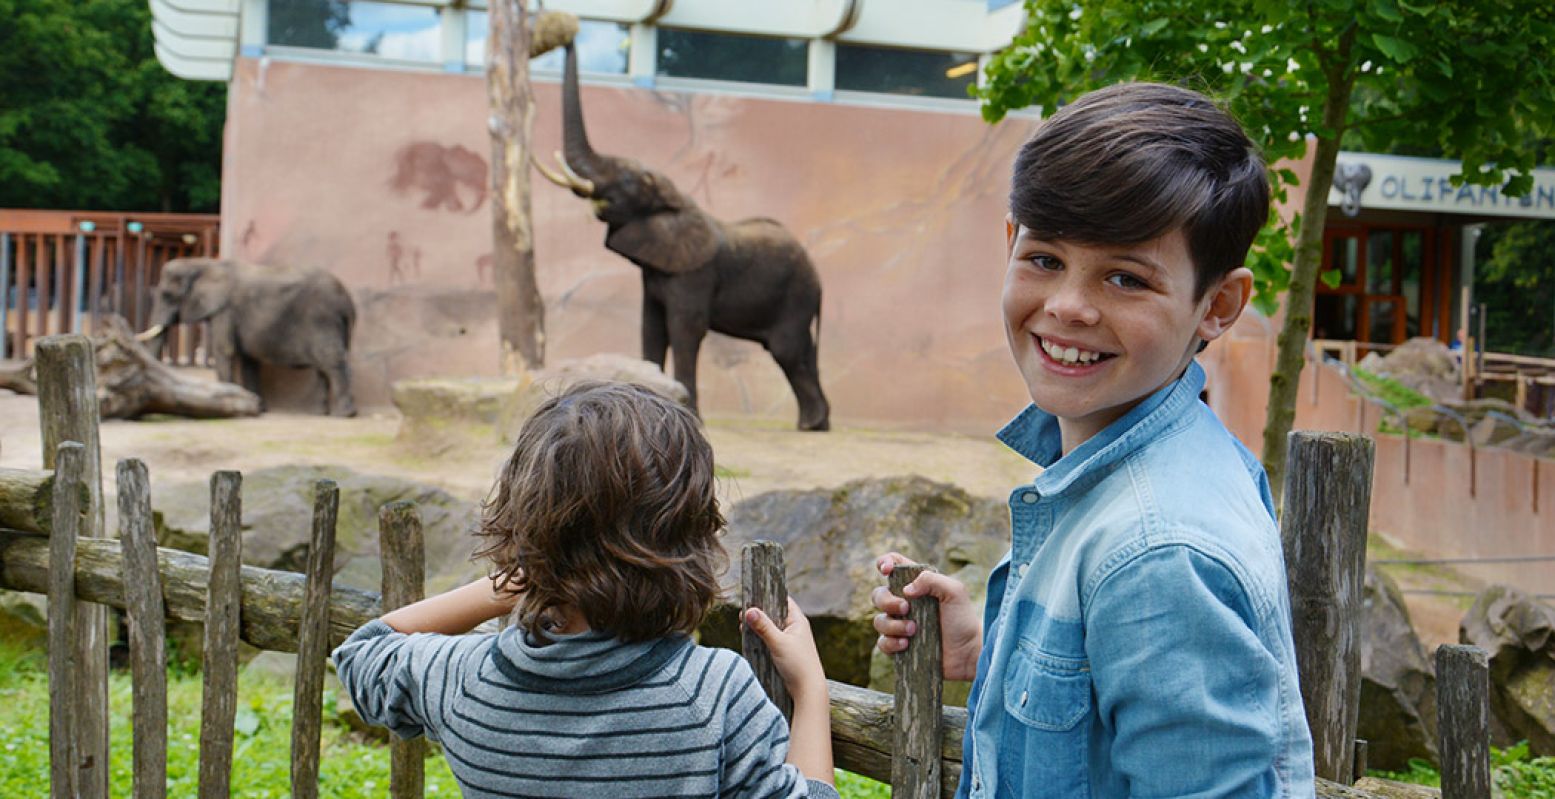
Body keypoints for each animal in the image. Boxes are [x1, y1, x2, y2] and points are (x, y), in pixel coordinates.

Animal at [139, 256, 357, 416]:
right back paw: (320, 413)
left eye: (167, 295)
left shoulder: (225, 309)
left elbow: (225, 350)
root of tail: (347, 299)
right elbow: (248, 360)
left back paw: (344, 414)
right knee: (323, 366)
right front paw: (258, 406)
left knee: (331, 361)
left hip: (323, 318)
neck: (203, 264)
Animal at [538, 41, 833, 429]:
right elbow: (651, 329)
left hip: (795, 294)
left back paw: (811, 425)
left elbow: (683, 329)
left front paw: (690, 415)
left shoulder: (694, 273)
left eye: (628, 181)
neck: (674, 198)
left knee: (787, 349)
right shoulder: (655, 273)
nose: (568, 36)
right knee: (804, 352)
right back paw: (815, 425)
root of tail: (820, 280)